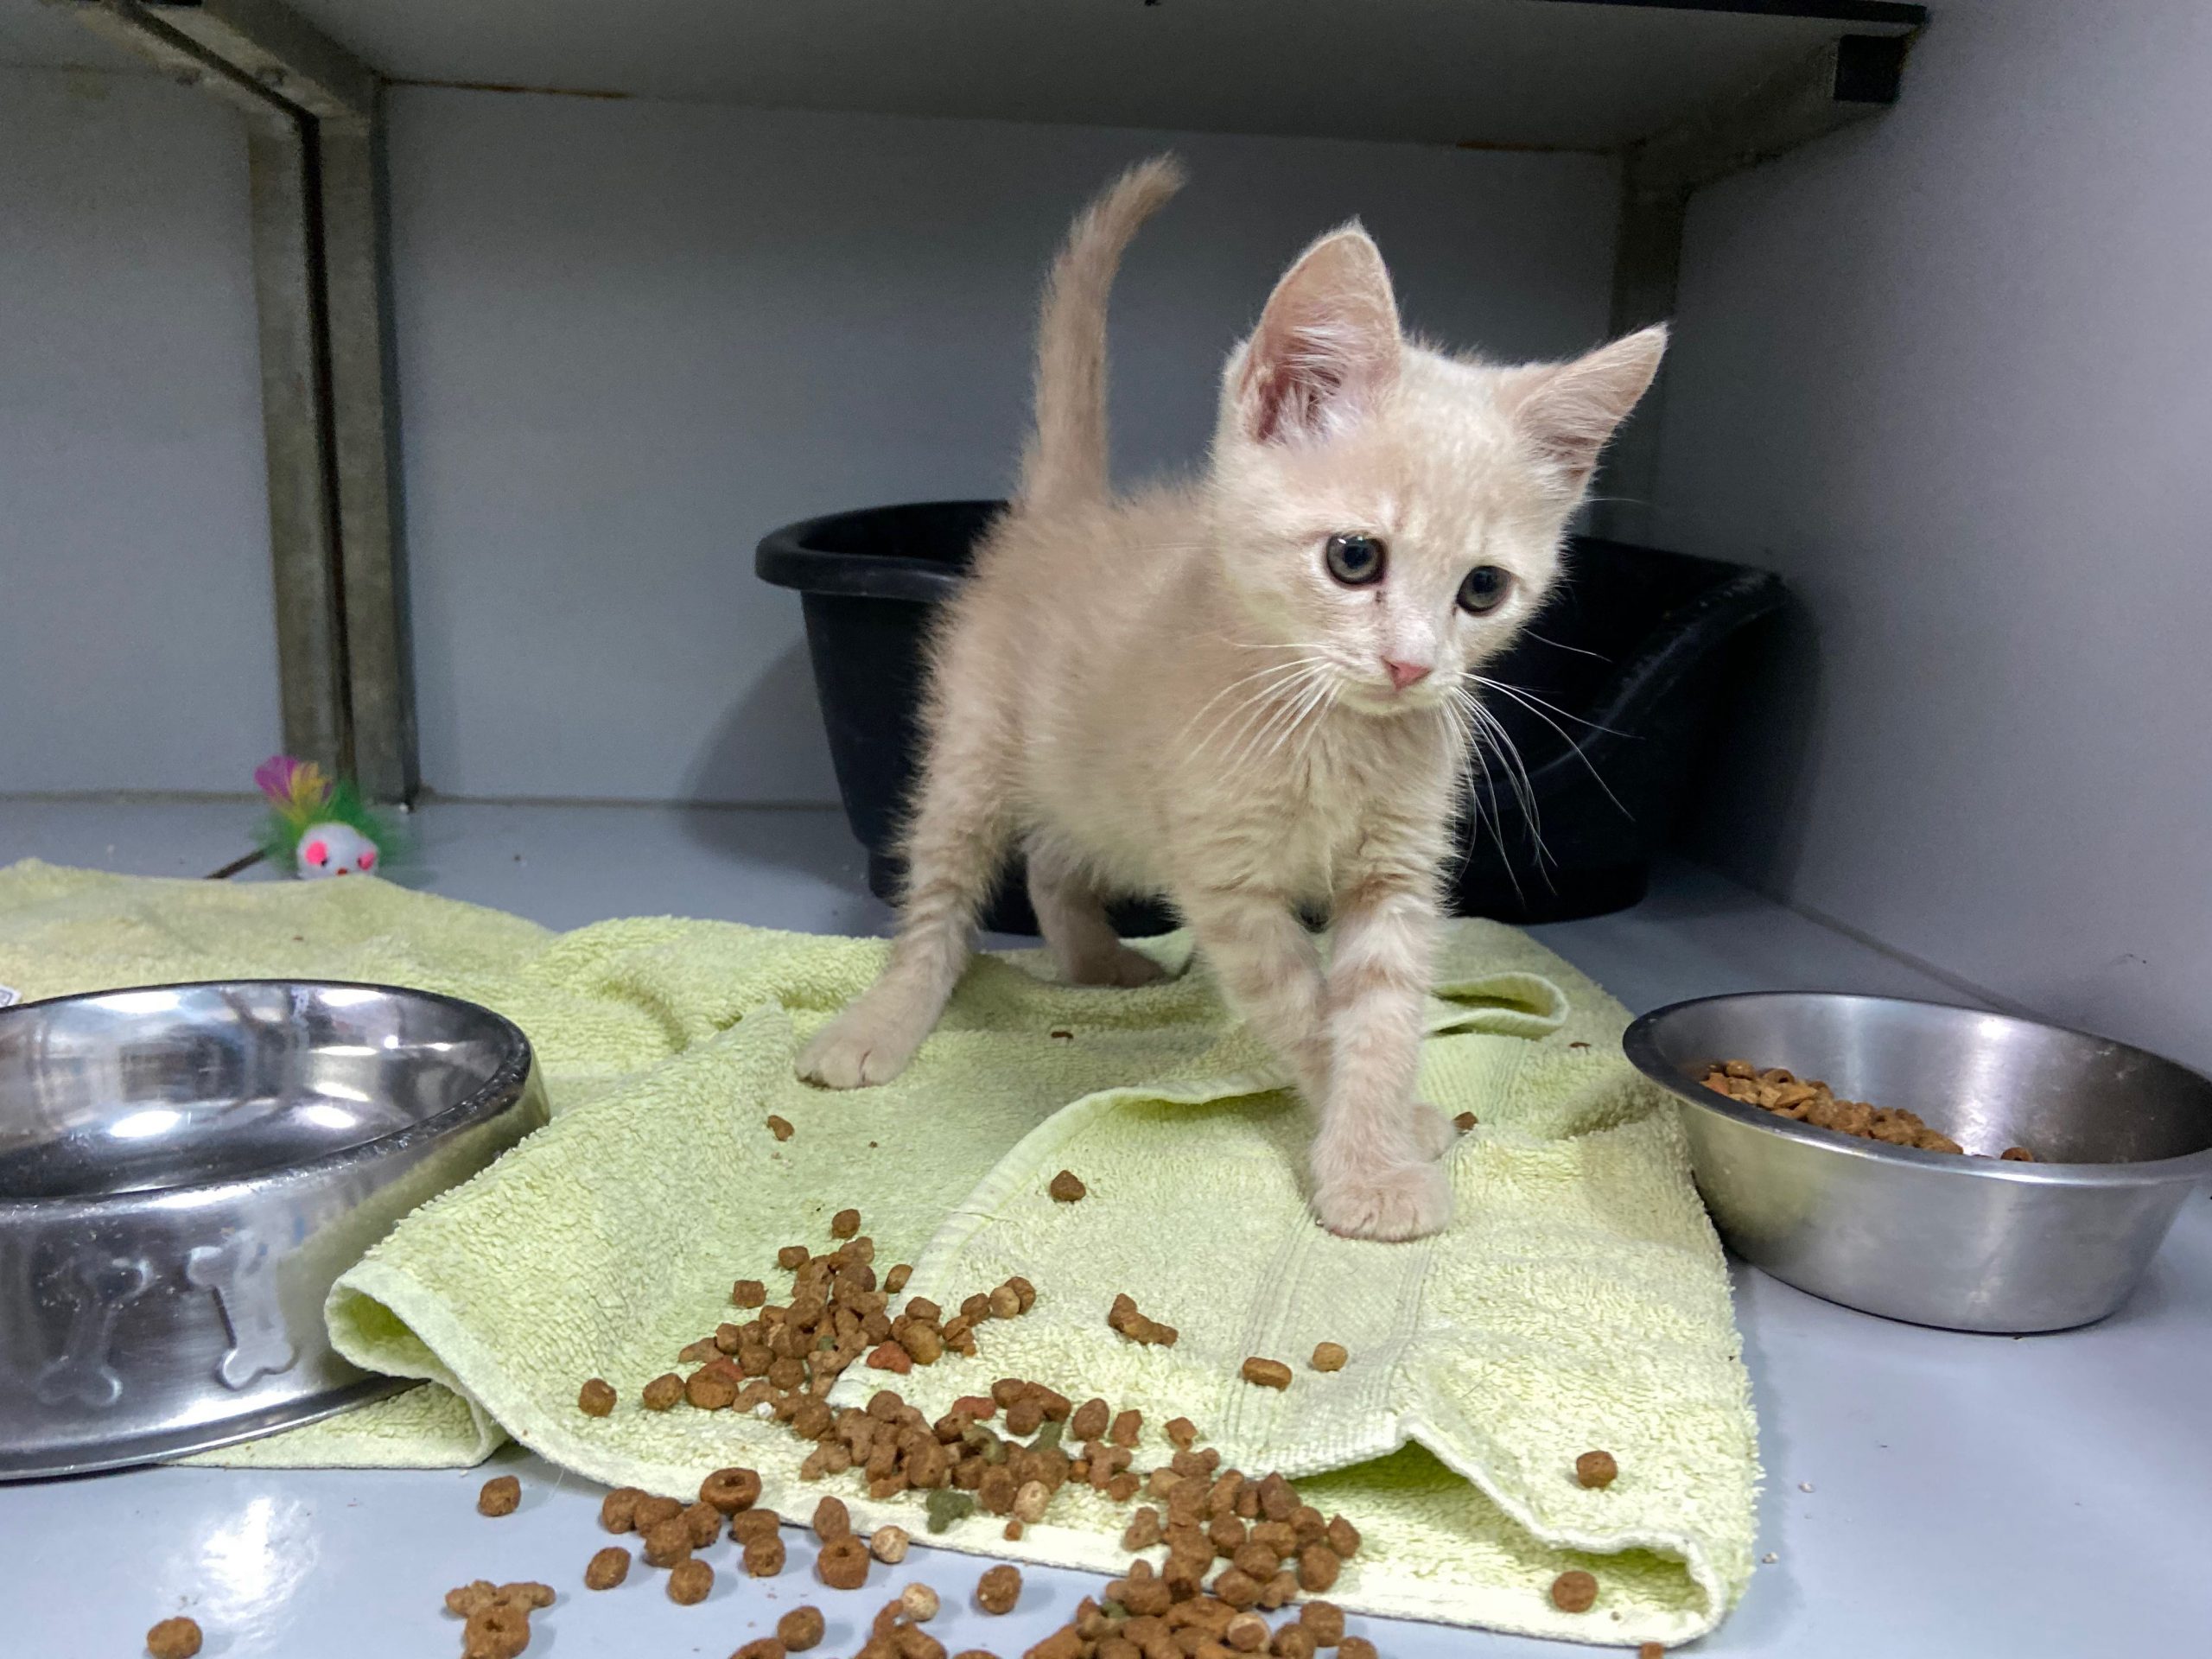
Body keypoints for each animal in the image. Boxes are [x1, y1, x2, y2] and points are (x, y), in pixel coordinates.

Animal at [797, 156, 1664, 1241]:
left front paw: (1379, 1140)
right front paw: (1367, 1165)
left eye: (1482, 590)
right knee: (943, 891)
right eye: (1353, 558)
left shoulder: (1395, 873)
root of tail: (1066, 518)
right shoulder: (1227, 879)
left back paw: (1097, 962)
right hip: (974, 749)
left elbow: (1380, 1012)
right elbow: (1306, 1011)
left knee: (1052, 857)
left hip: (1100, 786)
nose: (1412, 668)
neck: (1327, 724)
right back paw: (886, 1019)